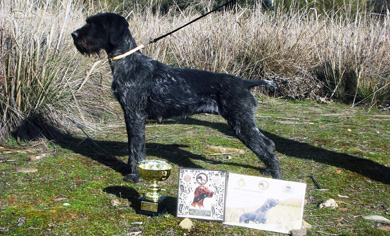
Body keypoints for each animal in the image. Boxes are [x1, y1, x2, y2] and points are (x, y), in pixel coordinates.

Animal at [71, 12, 282, 183]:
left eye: (94, 24)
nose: (74, 35)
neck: (129, 63)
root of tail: (245, 83)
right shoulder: (130, 115)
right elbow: (133, 146)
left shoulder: (135, 115)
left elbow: (136, 148)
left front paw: (135, 176)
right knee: (270, 144)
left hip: (241, 124)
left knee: (267, 149)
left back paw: (276, 179)